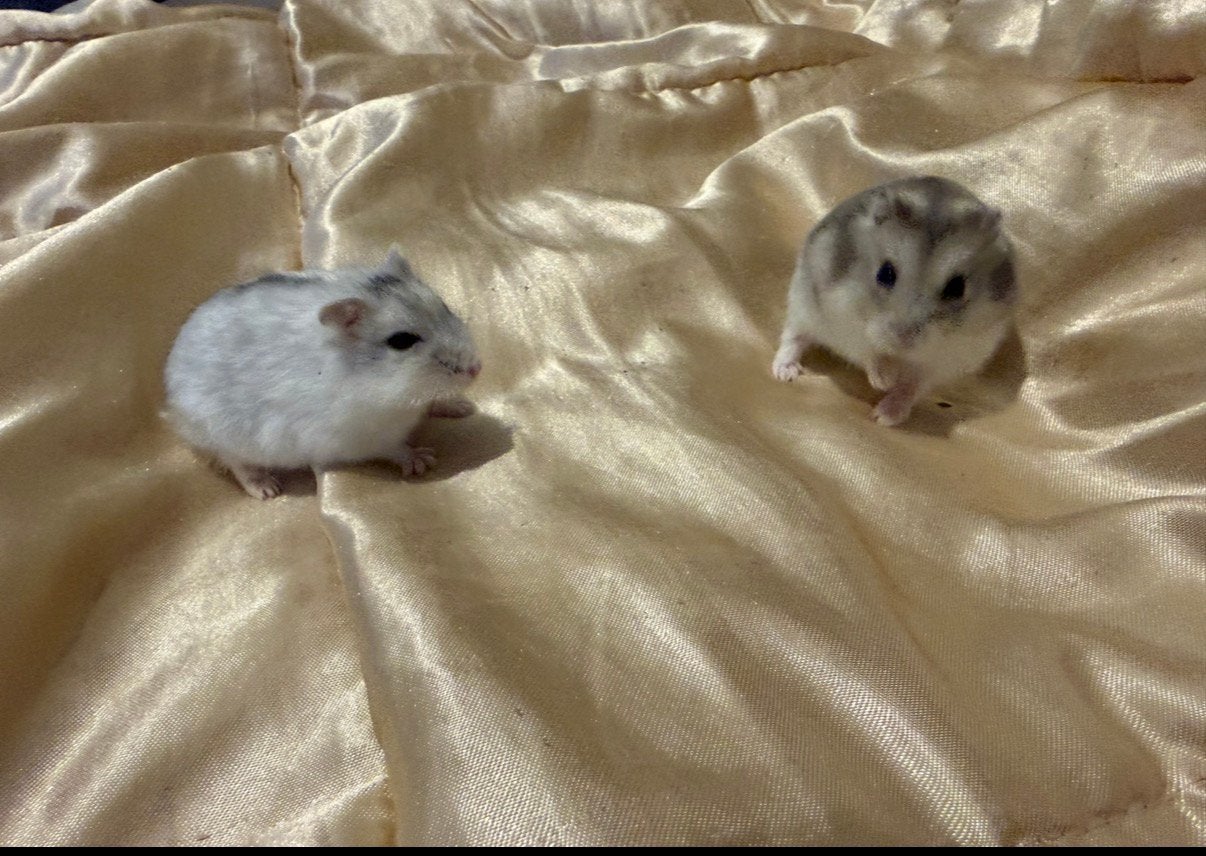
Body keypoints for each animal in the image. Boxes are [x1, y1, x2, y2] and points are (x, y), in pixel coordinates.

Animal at [164, 249, 482, 499]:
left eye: (444, 306)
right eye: (401, 341)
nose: (477, 369)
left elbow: (433, 400)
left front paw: (464, 407)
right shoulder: (361, 438)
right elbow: (395, 448)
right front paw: (423, 460)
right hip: (229, 439)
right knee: (238, 465)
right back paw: (268, 489)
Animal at [771, 176, 1017, 426]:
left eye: (957, 287)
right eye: (885, 273)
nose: (903, 340)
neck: (899, 356)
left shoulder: (953, 356)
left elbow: (914, 384)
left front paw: (885, 410)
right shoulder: (845, 322)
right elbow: (869, 353)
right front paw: (884, 380)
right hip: (801, 304)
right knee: (794, 338)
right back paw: (785, 374)